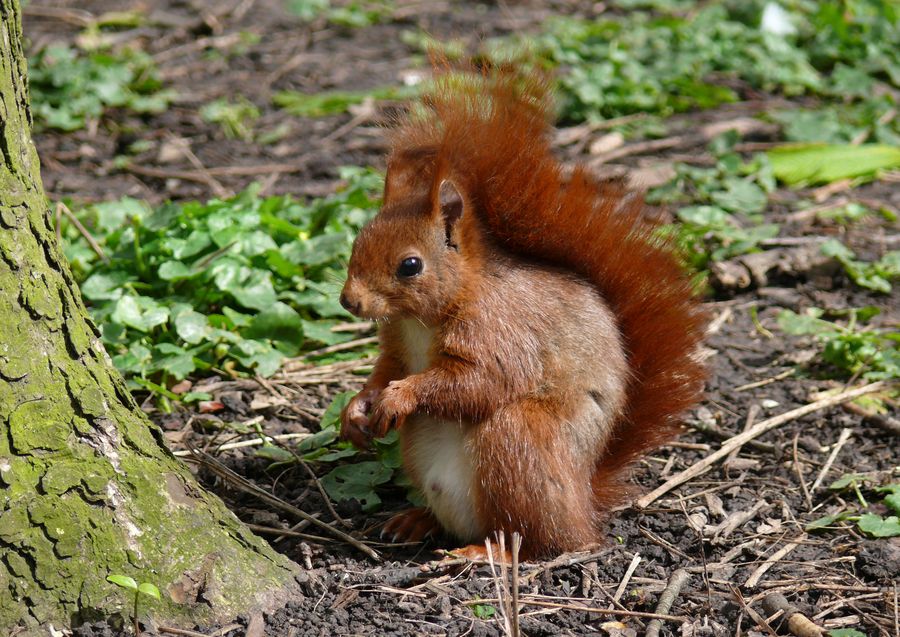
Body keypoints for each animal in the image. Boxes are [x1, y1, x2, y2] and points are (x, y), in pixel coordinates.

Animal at [336, 68, 704, 556]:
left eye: (410, 265)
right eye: (357, 243)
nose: (349, 301)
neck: (423, 319)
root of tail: (584, 503)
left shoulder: (500, 330)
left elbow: (481, 381)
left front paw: (401, 396)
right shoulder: (397, 345)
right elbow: (385, 370)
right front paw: (357, 408)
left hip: (519, 438)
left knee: (538, 541)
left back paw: (485, 552)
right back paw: (417, 521)